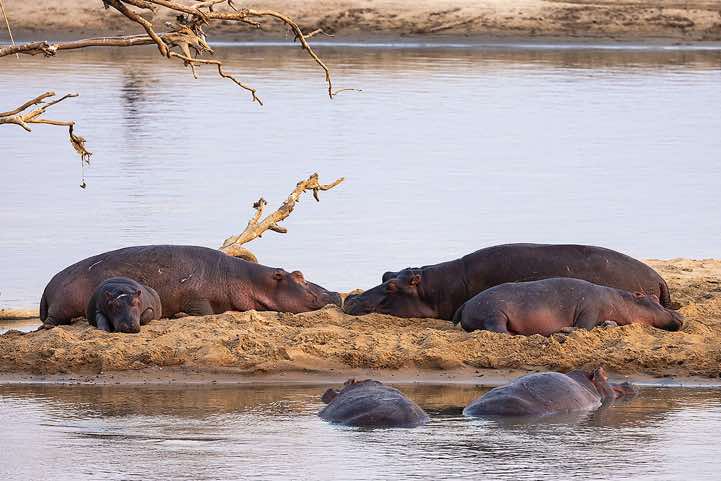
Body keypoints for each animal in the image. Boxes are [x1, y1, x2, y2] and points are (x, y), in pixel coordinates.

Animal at [40, 245, 341, 328]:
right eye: (298, 276)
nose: (335, 293)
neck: (249, 279)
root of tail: (47, 287)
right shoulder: (197, 300)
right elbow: (205, 312)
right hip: (62, 305)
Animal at [453, 277, 683, 335]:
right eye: (652, 299)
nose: (680, 316)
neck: (620, 300)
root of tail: (464, 304)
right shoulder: (589, 310)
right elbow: (583, 326)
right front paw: (566, 329)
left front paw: (608, 325)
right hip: (494, 312)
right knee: (497, 328)